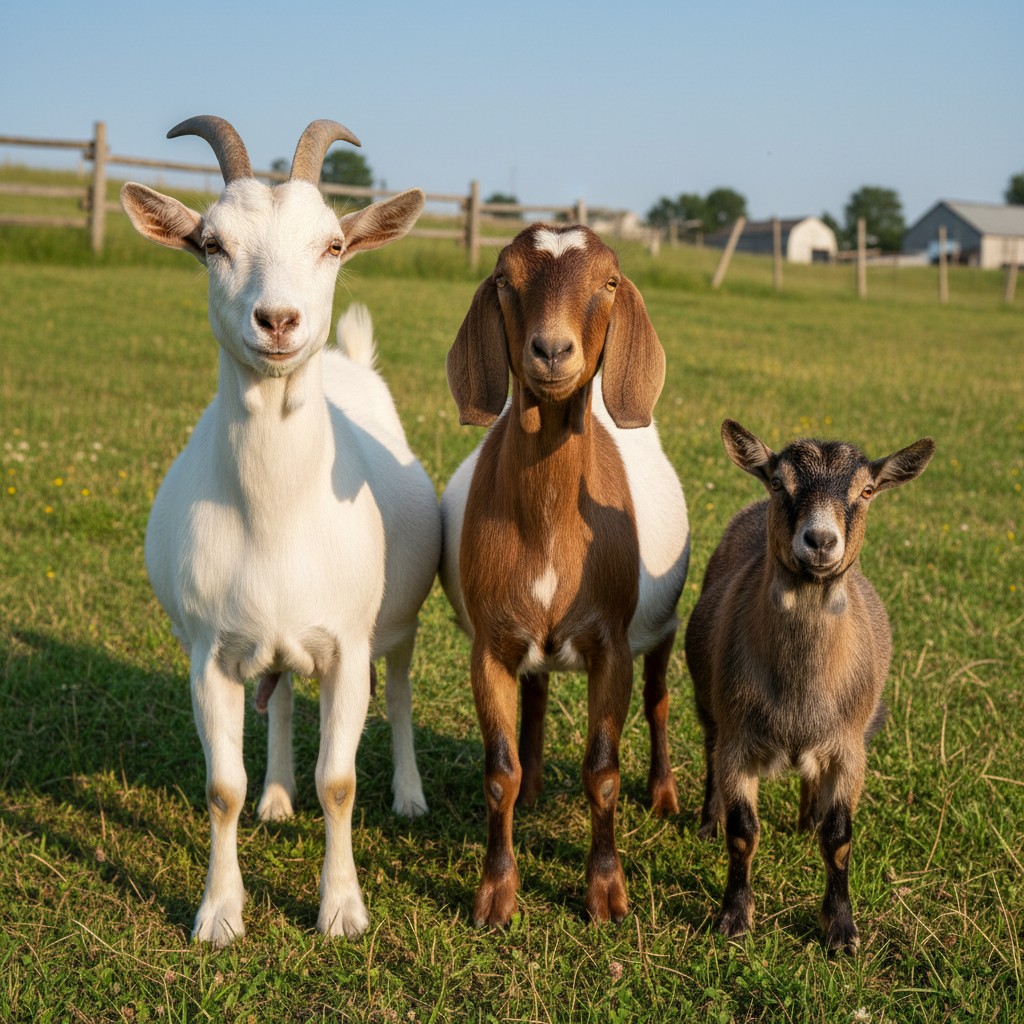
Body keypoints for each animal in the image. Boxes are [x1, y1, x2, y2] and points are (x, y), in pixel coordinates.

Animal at [120, 116, 440, 945]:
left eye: (332, 244)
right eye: (211, 243)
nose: (279, 321)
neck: (274, 517)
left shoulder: (348, 644)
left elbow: (341, 781)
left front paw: (343, 909)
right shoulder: (209, 654)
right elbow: (221, 788)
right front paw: (220, 912)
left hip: (397, 624)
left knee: (399, 693)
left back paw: (410, 794)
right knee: (285, 695)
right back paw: (276, 796)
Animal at [440, 223, 690, 926]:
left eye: (608, 281)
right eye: (505, 278)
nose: (551, 350)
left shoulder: (612, 647)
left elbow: (602, 770)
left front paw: (606, 892)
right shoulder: (490, 646)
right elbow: (498, 771)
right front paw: (495, 894)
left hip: (663, 625)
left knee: (661, 698)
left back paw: (664, 794)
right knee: (537, 693)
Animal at [684, 419, 934, 951]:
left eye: (866, 490)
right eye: (780, 483)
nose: (819, 540)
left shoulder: (848, 747)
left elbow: (839, 837)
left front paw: (841, 929)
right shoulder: (739, 739)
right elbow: (744, 831)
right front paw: (734, 918)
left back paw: (806, 821)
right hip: (710, 707)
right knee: (709, 753)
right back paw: (708, 823)